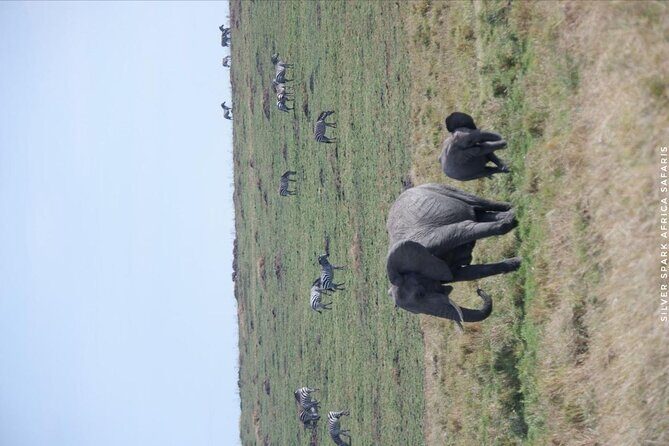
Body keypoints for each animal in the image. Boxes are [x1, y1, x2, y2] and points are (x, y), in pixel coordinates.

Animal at [386, 183, 521, 326]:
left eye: (420, 294)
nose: (479, 291)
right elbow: (468, 273)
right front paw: (518, 263)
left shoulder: (436, 239)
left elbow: (465, 229)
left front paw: (514, 219)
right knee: (482, 215)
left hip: (440, 188)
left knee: (480, 204)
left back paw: (514, 207)